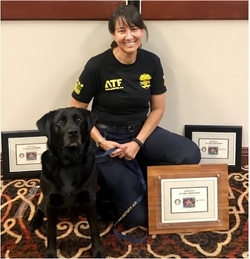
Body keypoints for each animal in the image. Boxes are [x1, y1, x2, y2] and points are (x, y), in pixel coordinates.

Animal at [29, 107, 105, 258]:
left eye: (79, 119)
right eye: (60, 121)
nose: (73, 132)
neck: (70, 164)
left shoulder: (89, 200)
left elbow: (94, 229)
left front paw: (98, 251)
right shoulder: (51, 202)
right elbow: (51, 231)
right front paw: (51, 252)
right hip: (45, 201)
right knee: (39, 208)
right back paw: (35, 221)